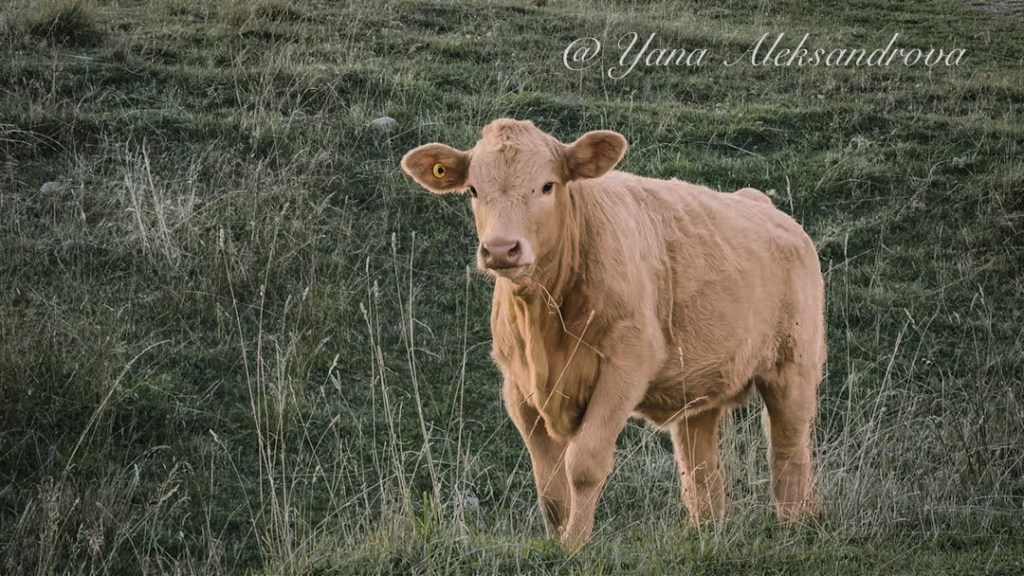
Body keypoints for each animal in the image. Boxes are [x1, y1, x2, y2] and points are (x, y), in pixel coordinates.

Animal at [400, 119, 825, 548]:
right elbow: (549, 485)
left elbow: (584, 463)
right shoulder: (517, 387)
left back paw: (793, 525)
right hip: (698, 385)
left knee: (789, 449)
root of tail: (765, 206)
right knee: (700, 467)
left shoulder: (625, 366)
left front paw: (574, 546)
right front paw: (557, 542)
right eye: (473, 189)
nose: (502, 249)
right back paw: (704, 531)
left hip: (794, 364)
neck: (543, 320)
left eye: (547, 185)